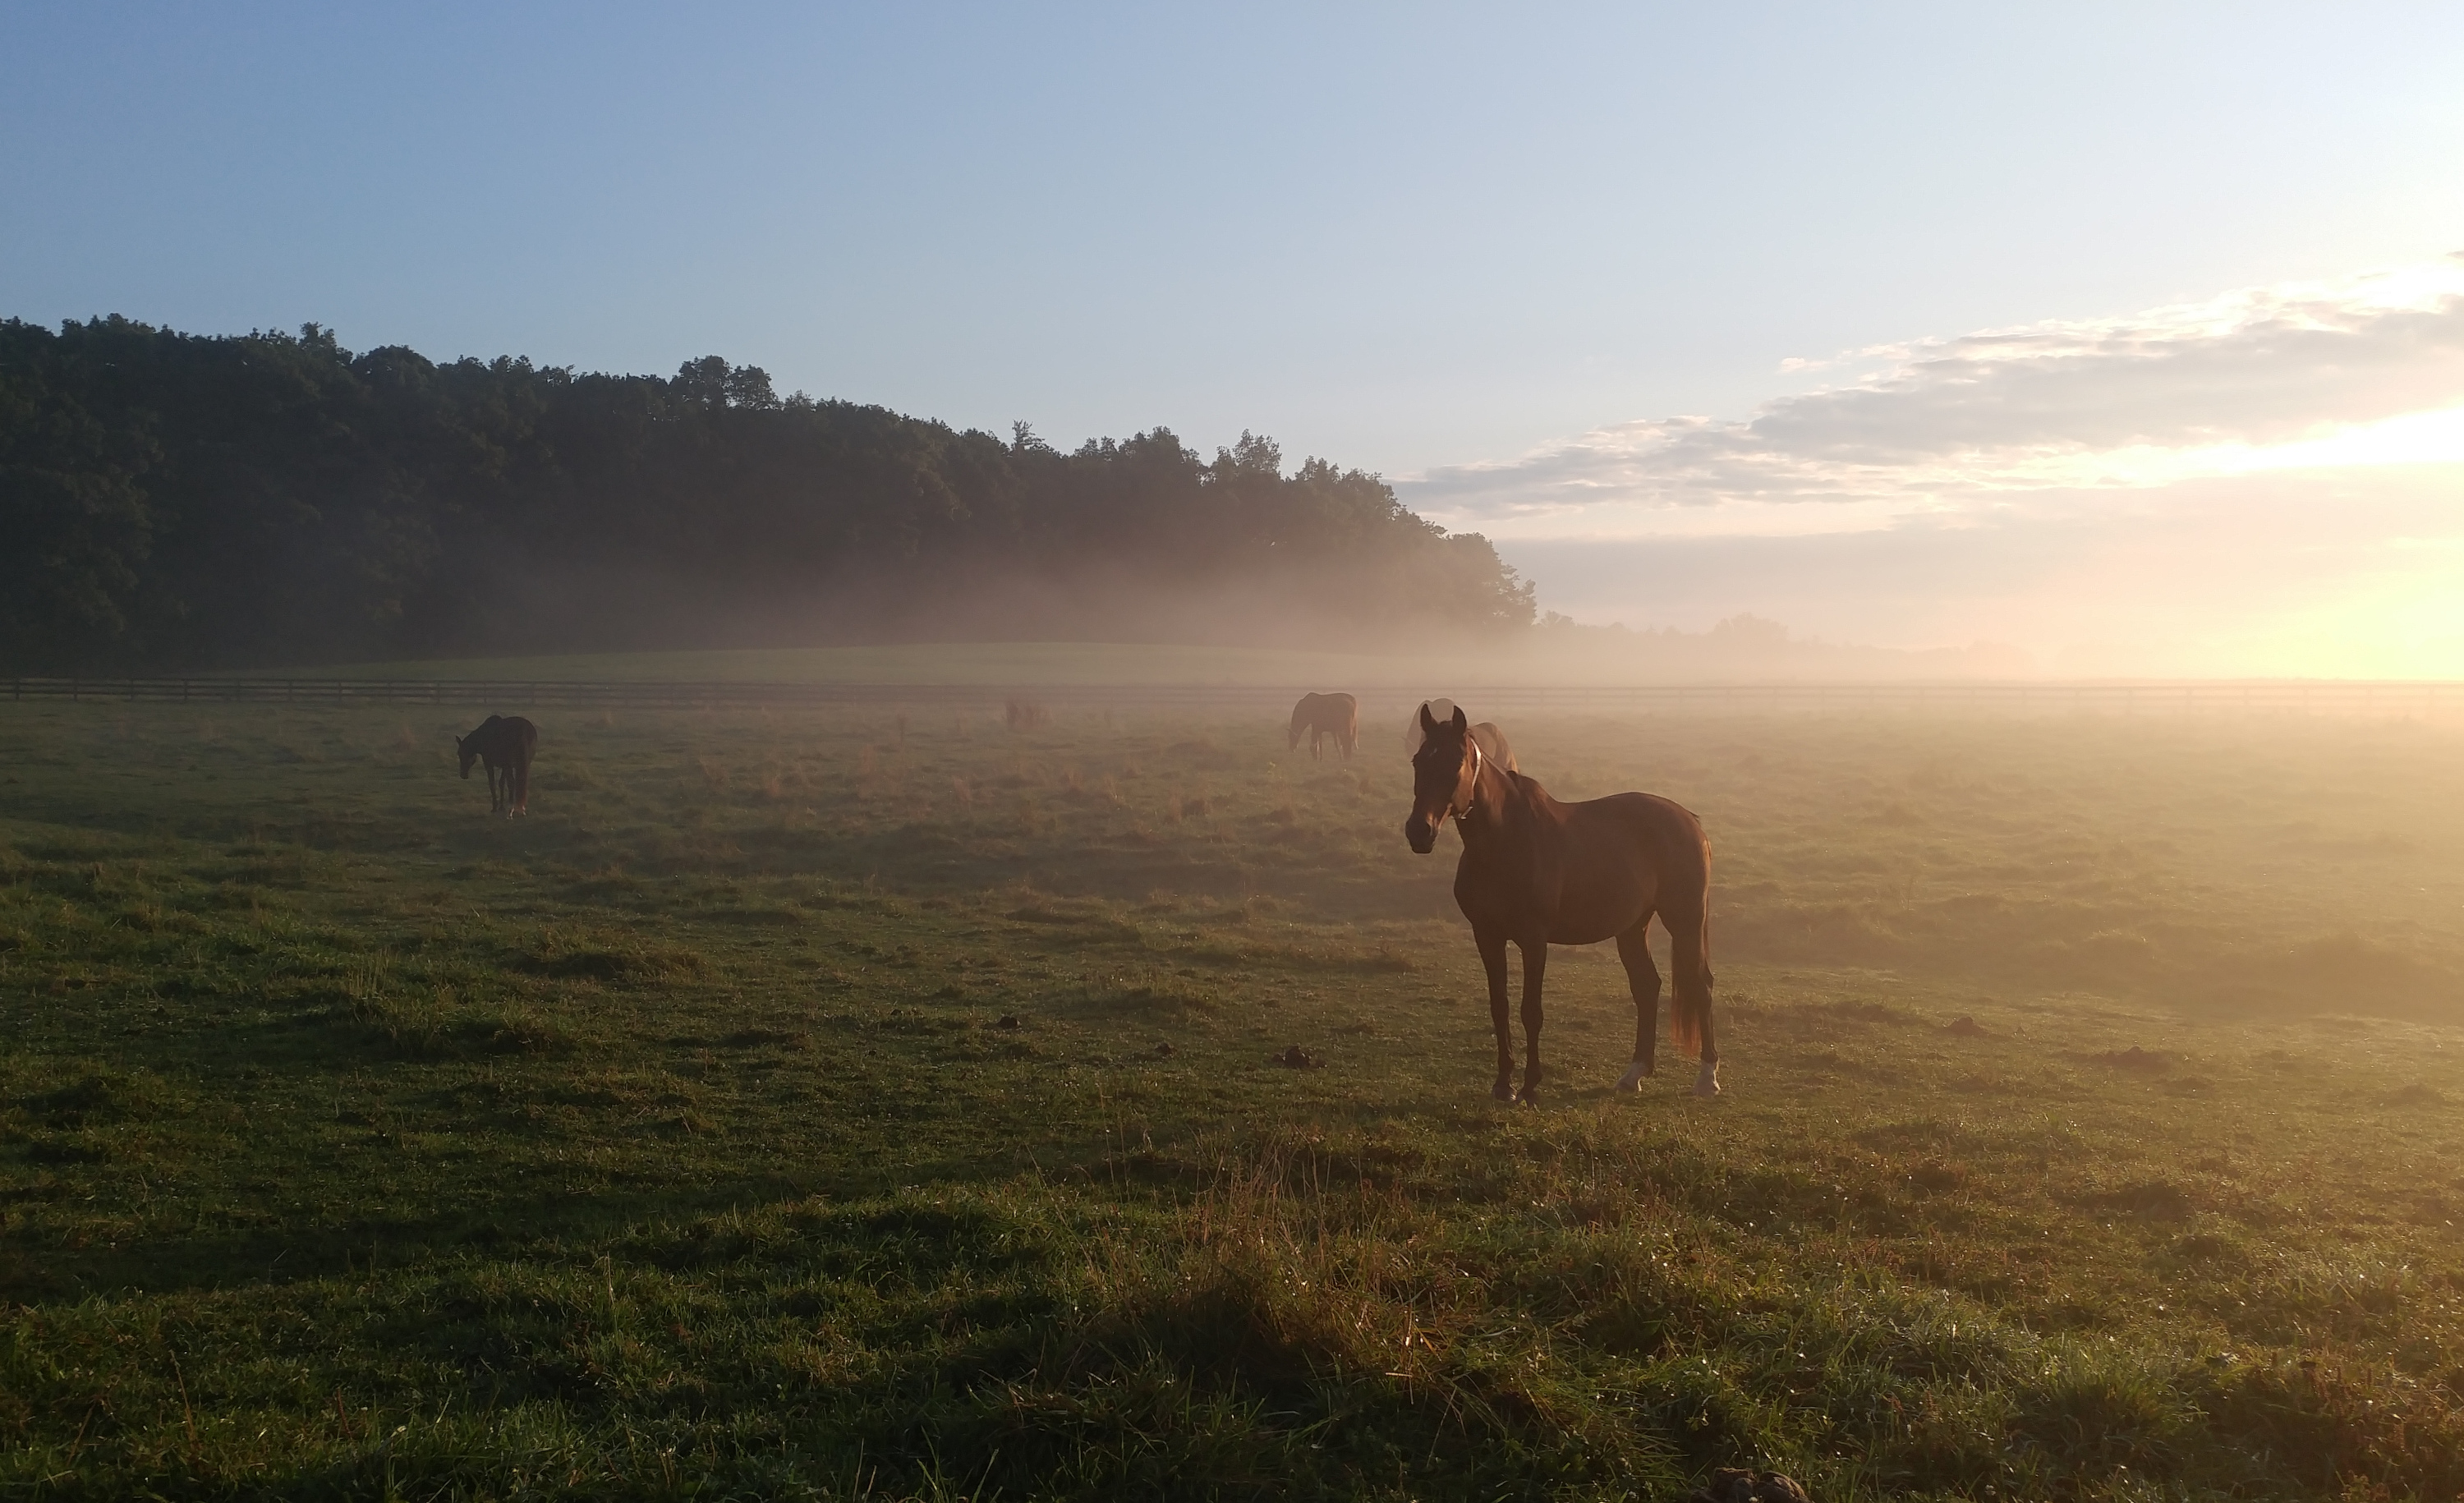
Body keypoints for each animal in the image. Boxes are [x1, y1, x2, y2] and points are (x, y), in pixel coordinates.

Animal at [1400, 695, 1725, 1094]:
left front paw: (1529, 1086)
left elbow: (1531, 1011)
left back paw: (1707, 1077)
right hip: (1633, 927)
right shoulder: (1487, 935)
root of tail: (1690, 820)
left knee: (1701, 985)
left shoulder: (1534, 939)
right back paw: (1634, 1073)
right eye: (1418, 760)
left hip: (1685, 920)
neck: (1506, 841)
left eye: (1455, 762)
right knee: (1647, 987)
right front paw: (1503, 1085)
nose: (1419, 831)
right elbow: (1499, 1007)